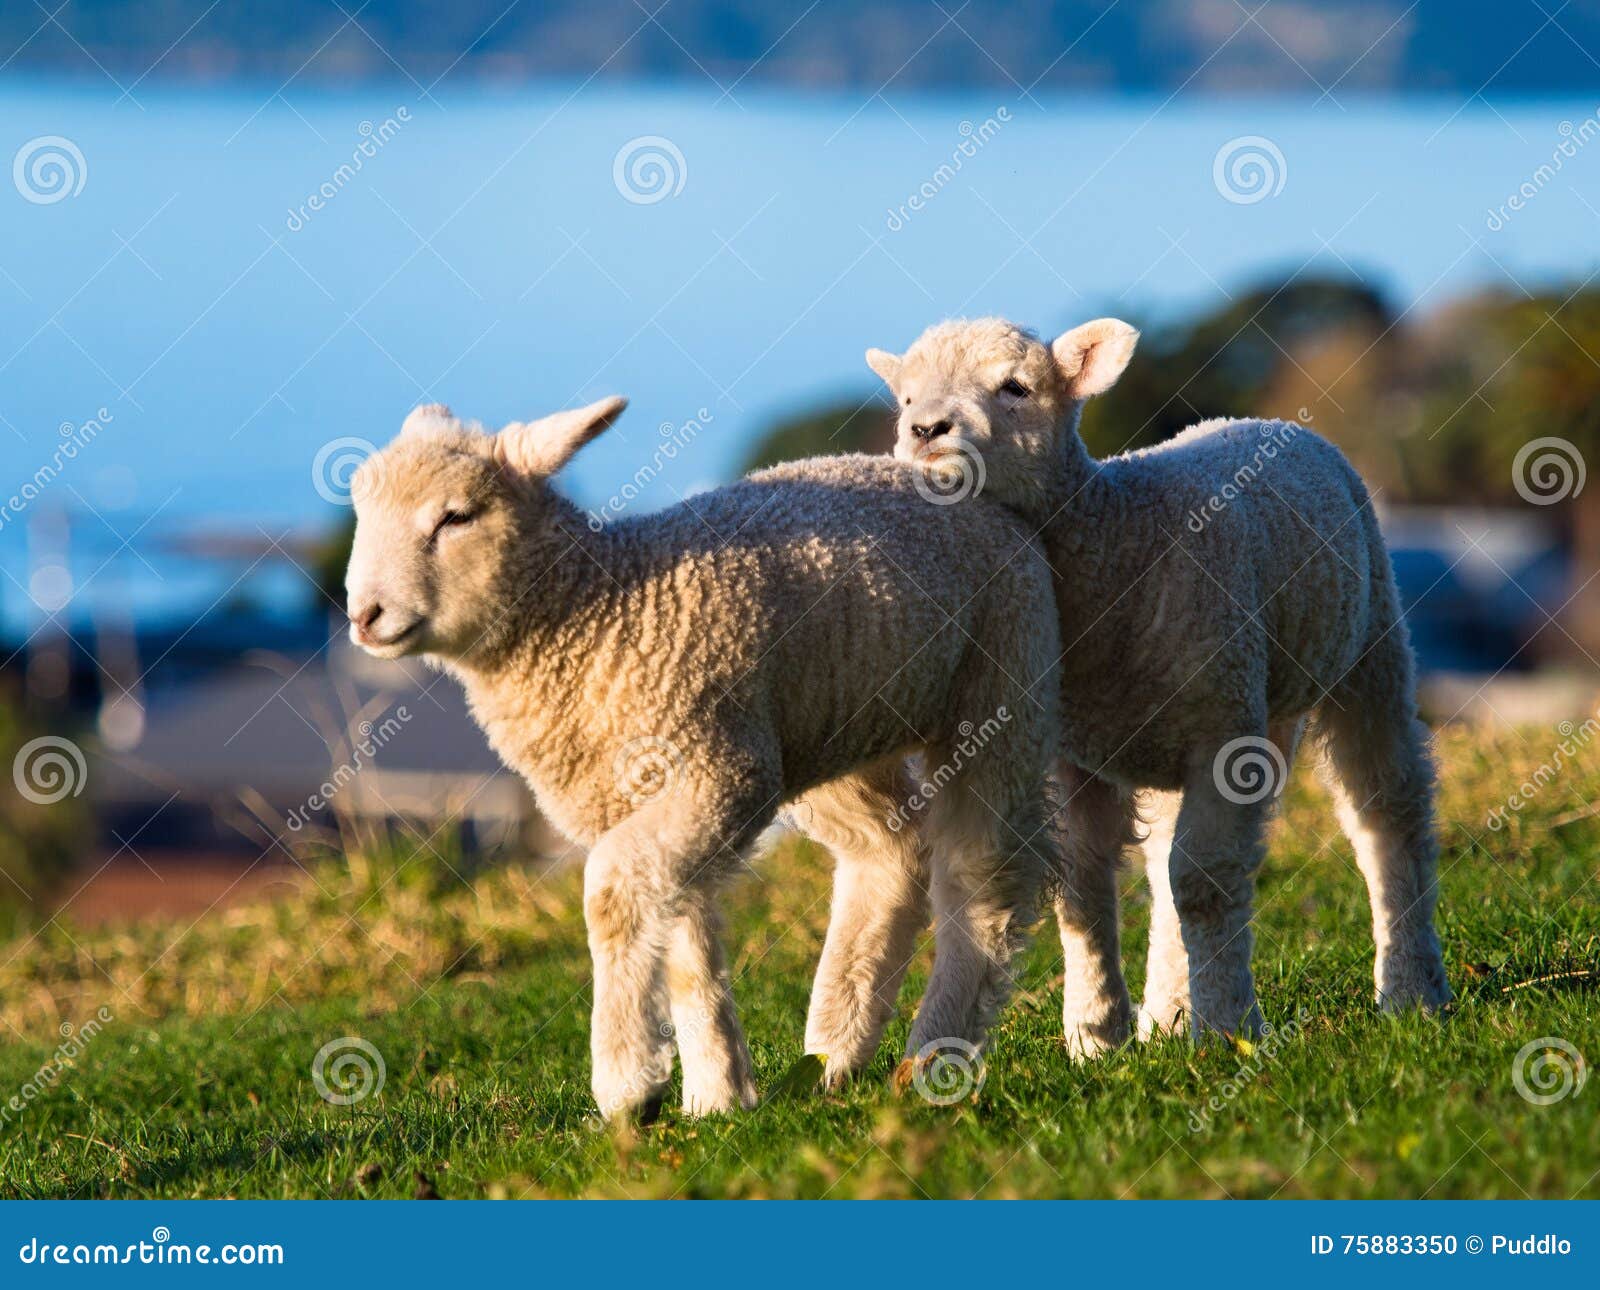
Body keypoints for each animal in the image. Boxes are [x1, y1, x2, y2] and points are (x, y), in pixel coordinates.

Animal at [342, 396, 1081, 1120]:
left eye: (456, 516)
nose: (364, 615)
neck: (597, 613)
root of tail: (973, 487)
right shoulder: (658, 795)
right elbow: (682, 939)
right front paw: (716, 1096)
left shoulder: (717, 772)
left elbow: (612, 893)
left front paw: (626, 1082)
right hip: (830, 722)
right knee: (890, 852)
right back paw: (836, 1047)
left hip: (1000, 684)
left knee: (984, 876)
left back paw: (932, 1052)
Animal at [870, 318, 1459, 1043]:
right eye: (904, 399)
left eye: (1016, 387)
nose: (926, 429)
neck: (1116, 539)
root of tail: (1257, 419)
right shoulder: (1076, 752)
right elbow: (1084, 886)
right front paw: (1095, 1033)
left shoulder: (1222, 735)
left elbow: (1205, 881)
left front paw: (1229, 1028)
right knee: (1162, 866)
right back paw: (1169, 1014)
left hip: (1369, 642)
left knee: (1386, 809)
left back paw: (1411, 990)